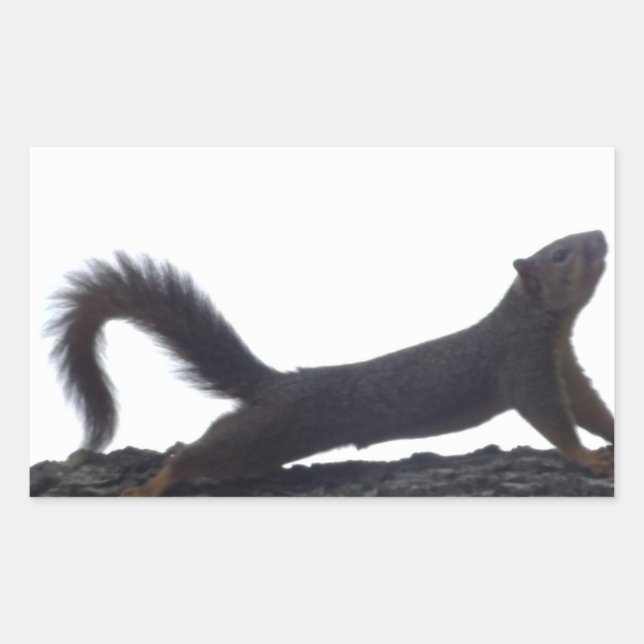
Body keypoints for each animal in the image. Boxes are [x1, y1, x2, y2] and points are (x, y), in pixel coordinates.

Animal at [48, 230, 614, 495]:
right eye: (560, 255)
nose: (600, 236)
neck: (533, 318)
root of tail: (277, 387)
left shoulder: (561, 365)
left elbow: (588, 408)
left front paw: (612, 435)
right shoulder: (520, 364)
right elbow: (551, 418)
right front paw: (587, 458)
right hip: (268, 433)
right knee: (210, 451)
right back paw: (158, 481)